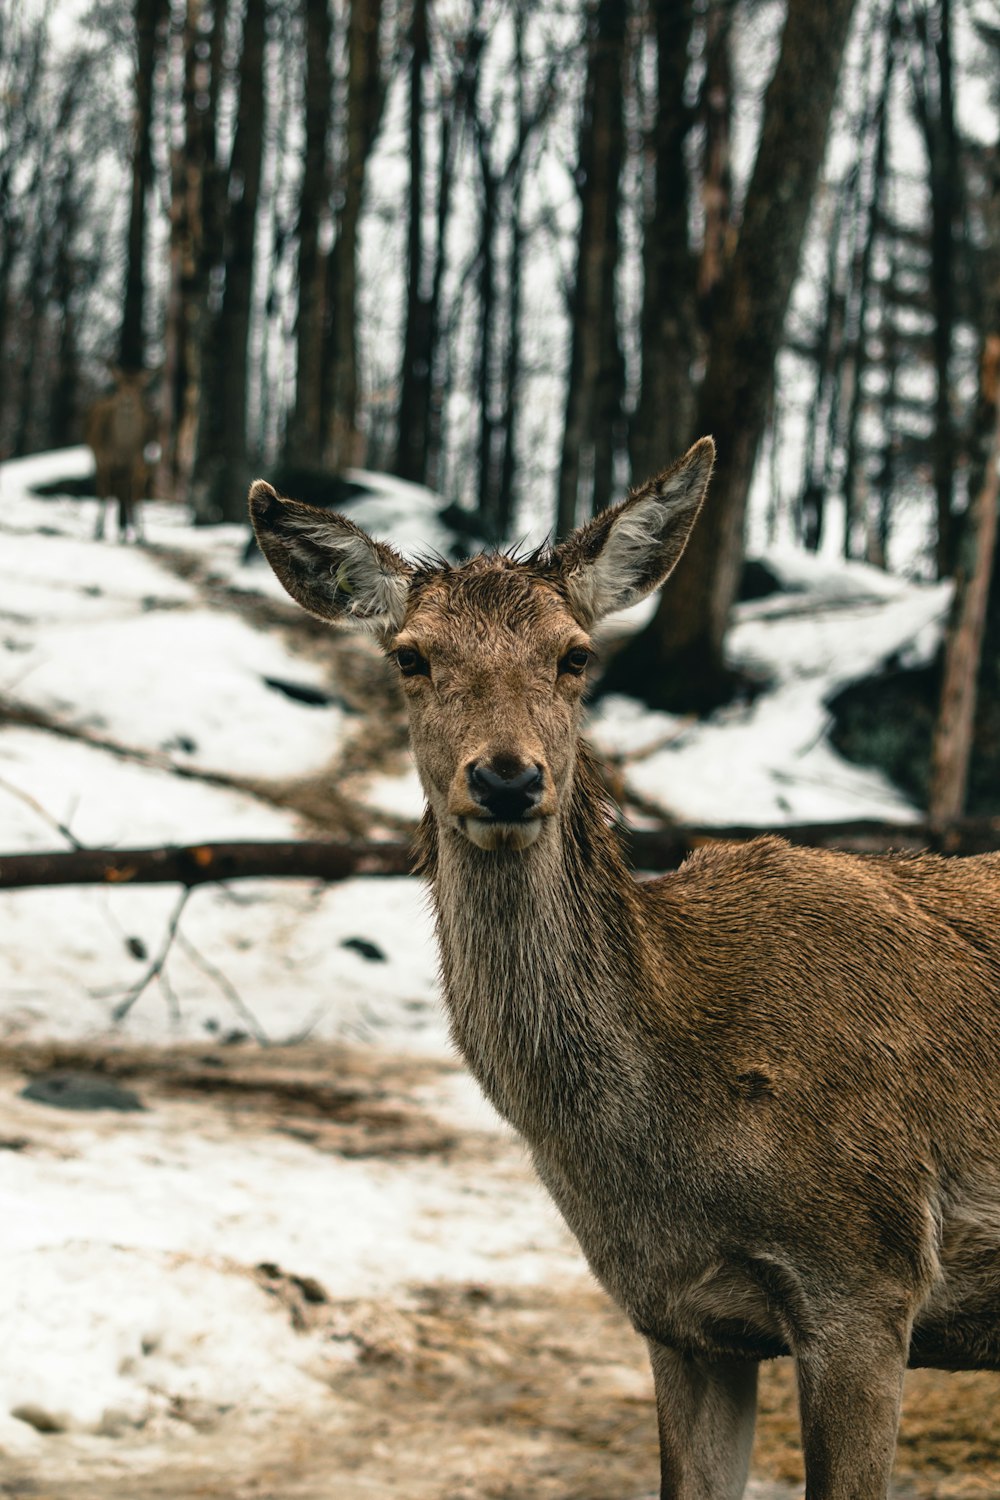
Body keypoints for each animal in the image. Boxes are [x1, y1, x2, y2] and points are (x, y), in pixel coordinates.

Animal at [85, 369, 155, 540]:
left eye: (139, 387)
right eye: (119, 385)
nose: (127, 400)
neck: (122, 448)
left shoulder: (137, 462)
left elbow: (135, 495)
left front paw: (141, 534)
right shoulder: (104, 458)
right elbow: (105, 491)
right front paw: (99, 532)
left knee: (123, 491)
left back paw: (124, 529)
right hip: (98, 457)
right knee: (106, 488)